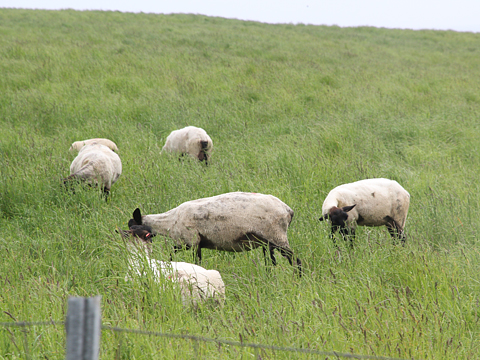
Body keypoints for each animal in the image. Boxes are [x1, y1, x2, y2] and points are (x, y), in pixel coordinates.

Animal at [125, 191, 302, 276]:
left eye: (132, 226)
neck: (169, 222)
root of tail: (288, 211)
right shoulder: (190, 243)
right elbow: (174, 254)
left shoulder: (192, 241)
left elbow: (187, 258)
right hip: (269, 240)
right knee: (272, 263)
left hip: (277, 236)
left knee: (296, 260)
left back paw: (298, 278)